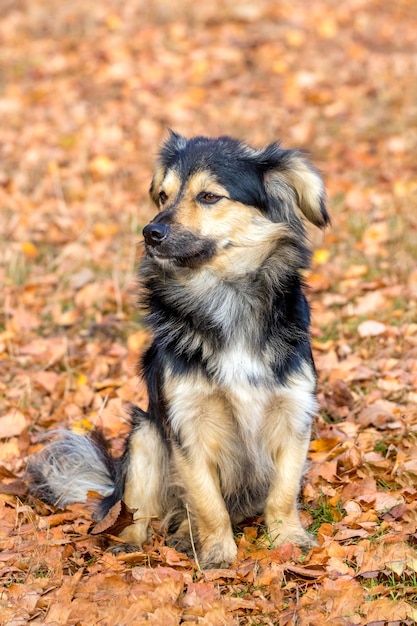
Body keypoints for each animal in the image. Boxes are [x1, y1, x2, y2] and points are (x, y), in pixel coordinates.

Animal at [28, 130, 328, 564]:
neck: (224, 296)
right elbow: (207, 501)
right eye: (163, 195)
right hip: (144, 435)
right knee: (139, 512)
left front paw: (287, 538)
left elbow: (283, 491)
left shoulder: (294, 411)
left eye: (209, 196)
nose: (149, 232)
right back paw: (140, 545)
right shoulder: (187, 423)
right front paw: (218, 554)